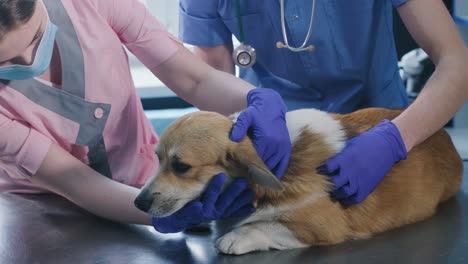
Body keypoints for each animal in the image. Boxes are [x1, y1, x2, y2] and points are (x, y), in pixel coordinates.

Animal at [133, 108, 462, 256]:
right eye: (157, 158)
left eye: (181, 166)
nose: (138, 202)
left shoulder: (319, 227)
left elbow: (266, 226)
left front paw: (236, 236)